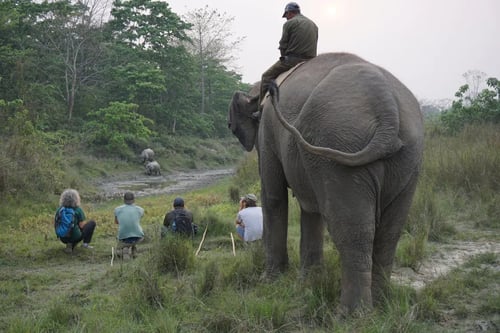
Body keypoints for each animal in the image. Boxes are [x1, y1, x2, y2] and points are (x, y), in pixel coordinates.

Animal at [229, 52, 424, 314]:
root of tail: (387, 111)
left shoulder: (267, 133)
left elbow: (273, 197)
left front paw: (270, 281)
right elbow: (310, 209)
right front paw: (308, 282)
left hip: (340, 142)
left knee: (351, 231)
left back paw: (351, 315)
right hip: (407, 157)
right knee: (390, 231)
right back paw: (382, 305)